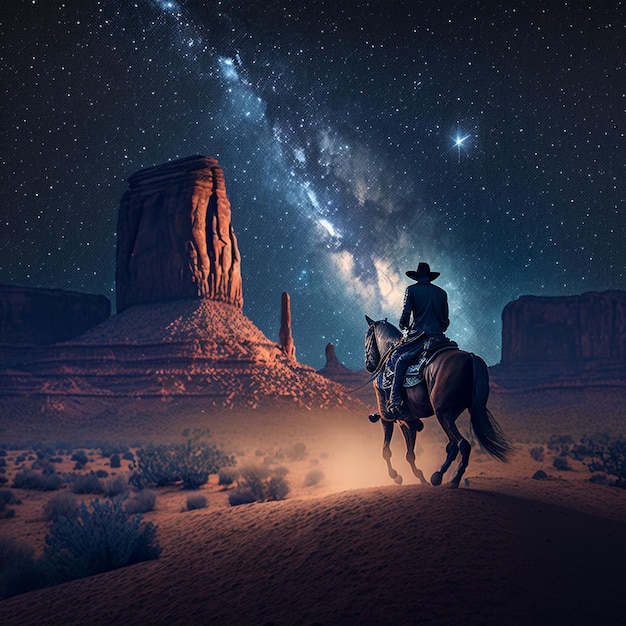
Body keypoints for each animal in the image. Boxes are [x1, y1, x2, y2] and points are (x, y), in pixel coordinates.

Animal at [364, 316, 510, 488]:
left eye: (367, 337)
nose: (368, 365)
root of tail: (471, 357)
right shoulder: (408, 420)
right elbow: (409, 454)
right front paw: (421, 478)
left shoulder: (387, 417)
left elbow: (386, 451)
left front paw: (396, 476)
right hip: (451, 413)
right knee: (453, 445)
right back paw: (439, 476)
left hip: (442, 413)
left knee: (462, 444)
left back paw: (451, 478)